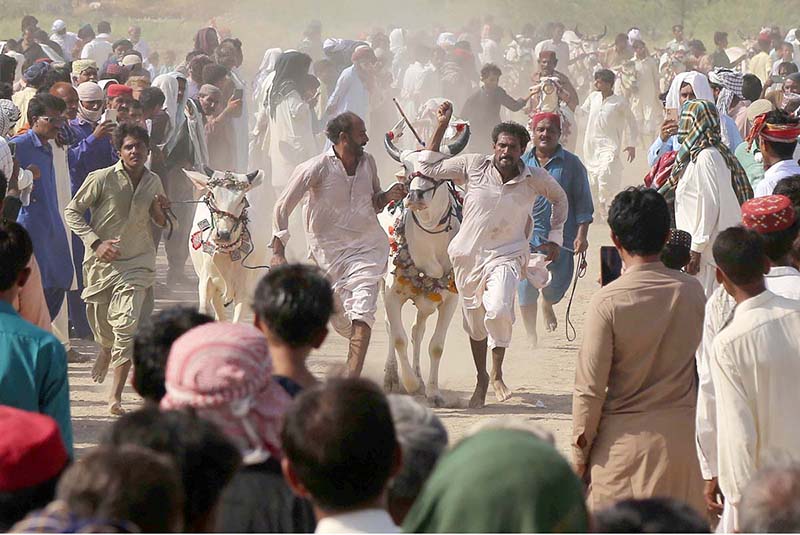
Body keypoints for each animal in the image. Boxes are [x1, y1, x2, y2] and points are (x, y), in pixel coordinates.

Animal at [380, 120, 468, 406]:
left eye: (439, 168)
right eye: (408, 168)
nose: (416, 195)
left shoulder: (451, 300)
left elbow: (436, 346)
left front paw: (432, 391)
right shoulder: (392, 294)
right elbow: (398, 338)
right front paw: (407, 382)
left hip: (428, 299)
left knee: (418, 329)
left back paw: (419, 376)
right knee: (393, 329)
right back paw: (393, 377)